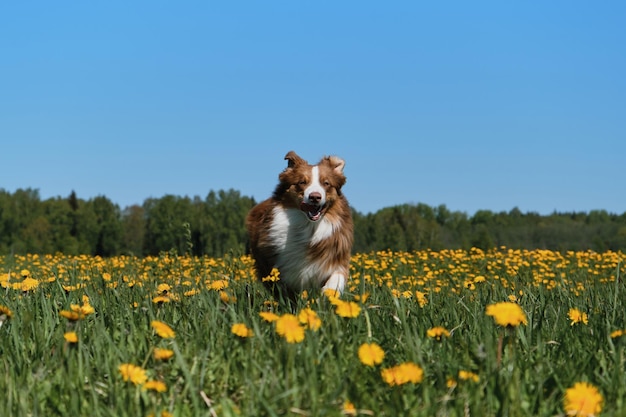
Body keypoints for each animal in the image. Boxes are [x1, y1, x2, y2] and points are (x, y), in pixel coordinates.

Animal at [244, 150, 352, 296]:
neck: (309, 227)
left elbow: (336, 278)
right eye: (302, 182)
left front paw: (328, 294)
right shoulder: (279, 268)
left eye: (326, 183)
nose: (315, 197)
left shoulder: (336, 258)